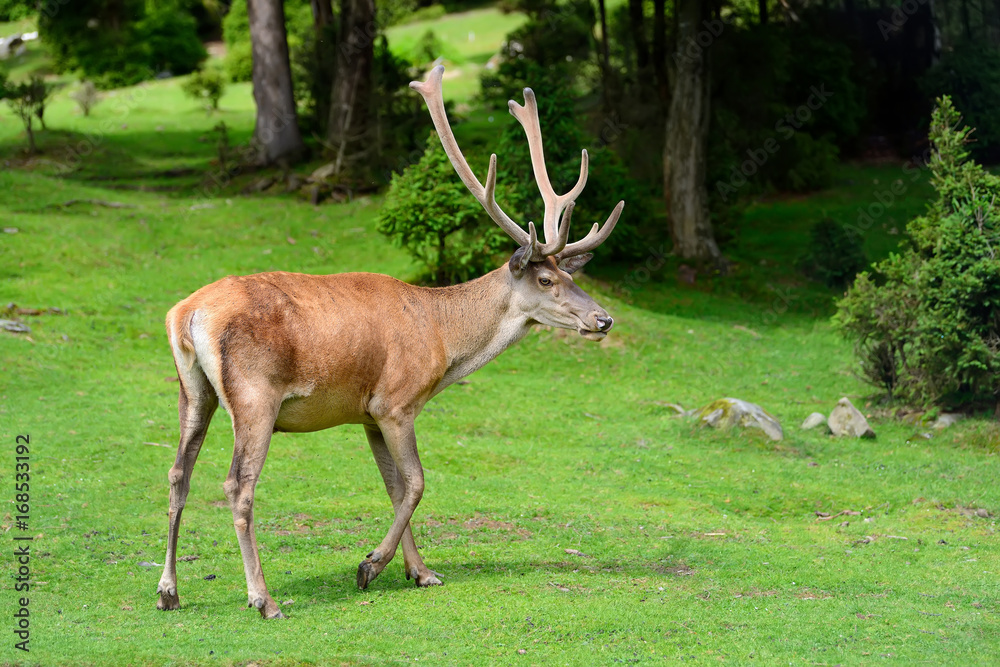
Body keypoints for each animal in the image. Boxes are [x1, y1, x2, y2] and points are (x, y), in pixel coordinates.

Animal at [154, 65, 624, 620]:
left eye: (571, 276)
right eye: (546, 280)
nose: (603, 319)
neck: (444, 343)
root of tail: (186, 314)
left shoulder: (367, 412)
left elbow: (394, 486)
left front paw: (419, 571)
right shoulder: (397, 401)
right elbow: (417, 482)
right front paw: (371, 565)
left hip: (193, 390)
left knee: (177, 473)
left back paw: (168, 590)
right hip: (254, 396)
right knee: (238, 485)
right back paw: (263, 598)